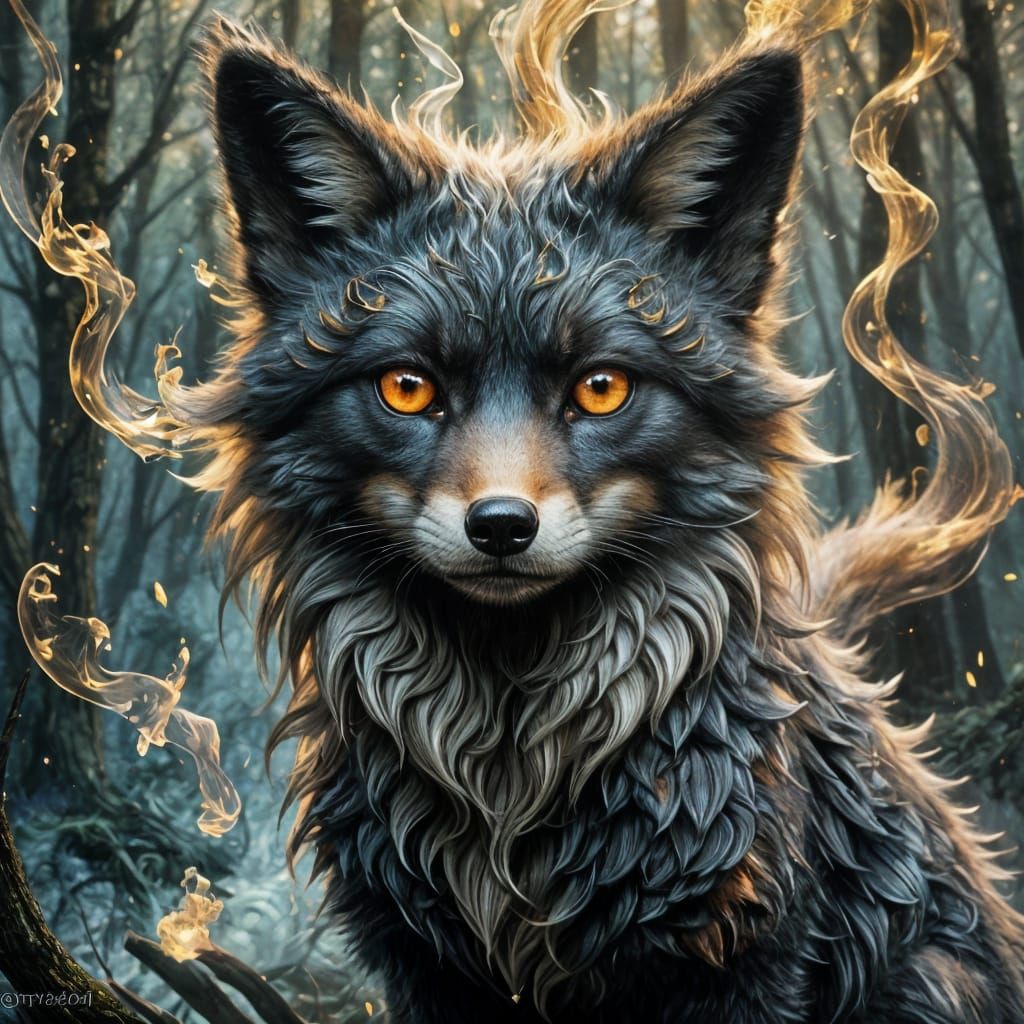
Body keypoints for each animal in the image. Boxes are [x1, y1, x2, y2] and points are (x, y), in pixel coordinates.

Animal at [177, 4, 1024, 1022]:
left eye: (601, 388)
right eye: (408, 388)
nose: (502, 526)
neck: (511, 780)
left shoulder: (744, 959)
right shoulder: (424, 967)